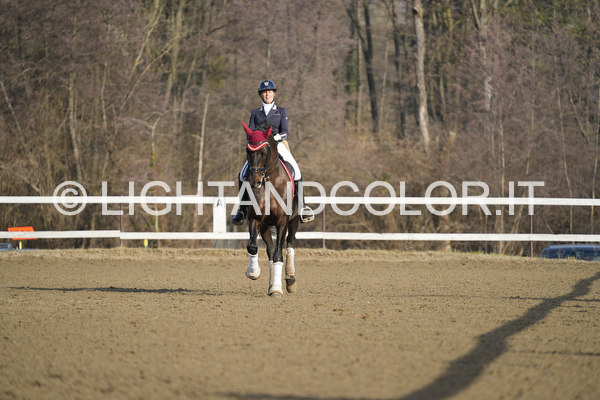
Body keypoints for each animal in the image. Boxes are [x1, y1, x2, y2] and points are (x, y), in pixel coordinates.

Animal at [240, 121, 300, 297]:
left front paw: (277, 289)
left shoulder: (282, 222)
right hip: (265, 226)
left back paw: (290, 279)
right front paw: (254, 273)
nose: (255, 182)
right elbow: (253, 246)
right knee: (271, 252)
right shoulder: (255, 219)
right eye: (248, 150)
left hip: (293, 222)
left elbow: (280, 254)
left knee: (290, 244)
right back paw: (272, 283)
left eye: (264, 151)